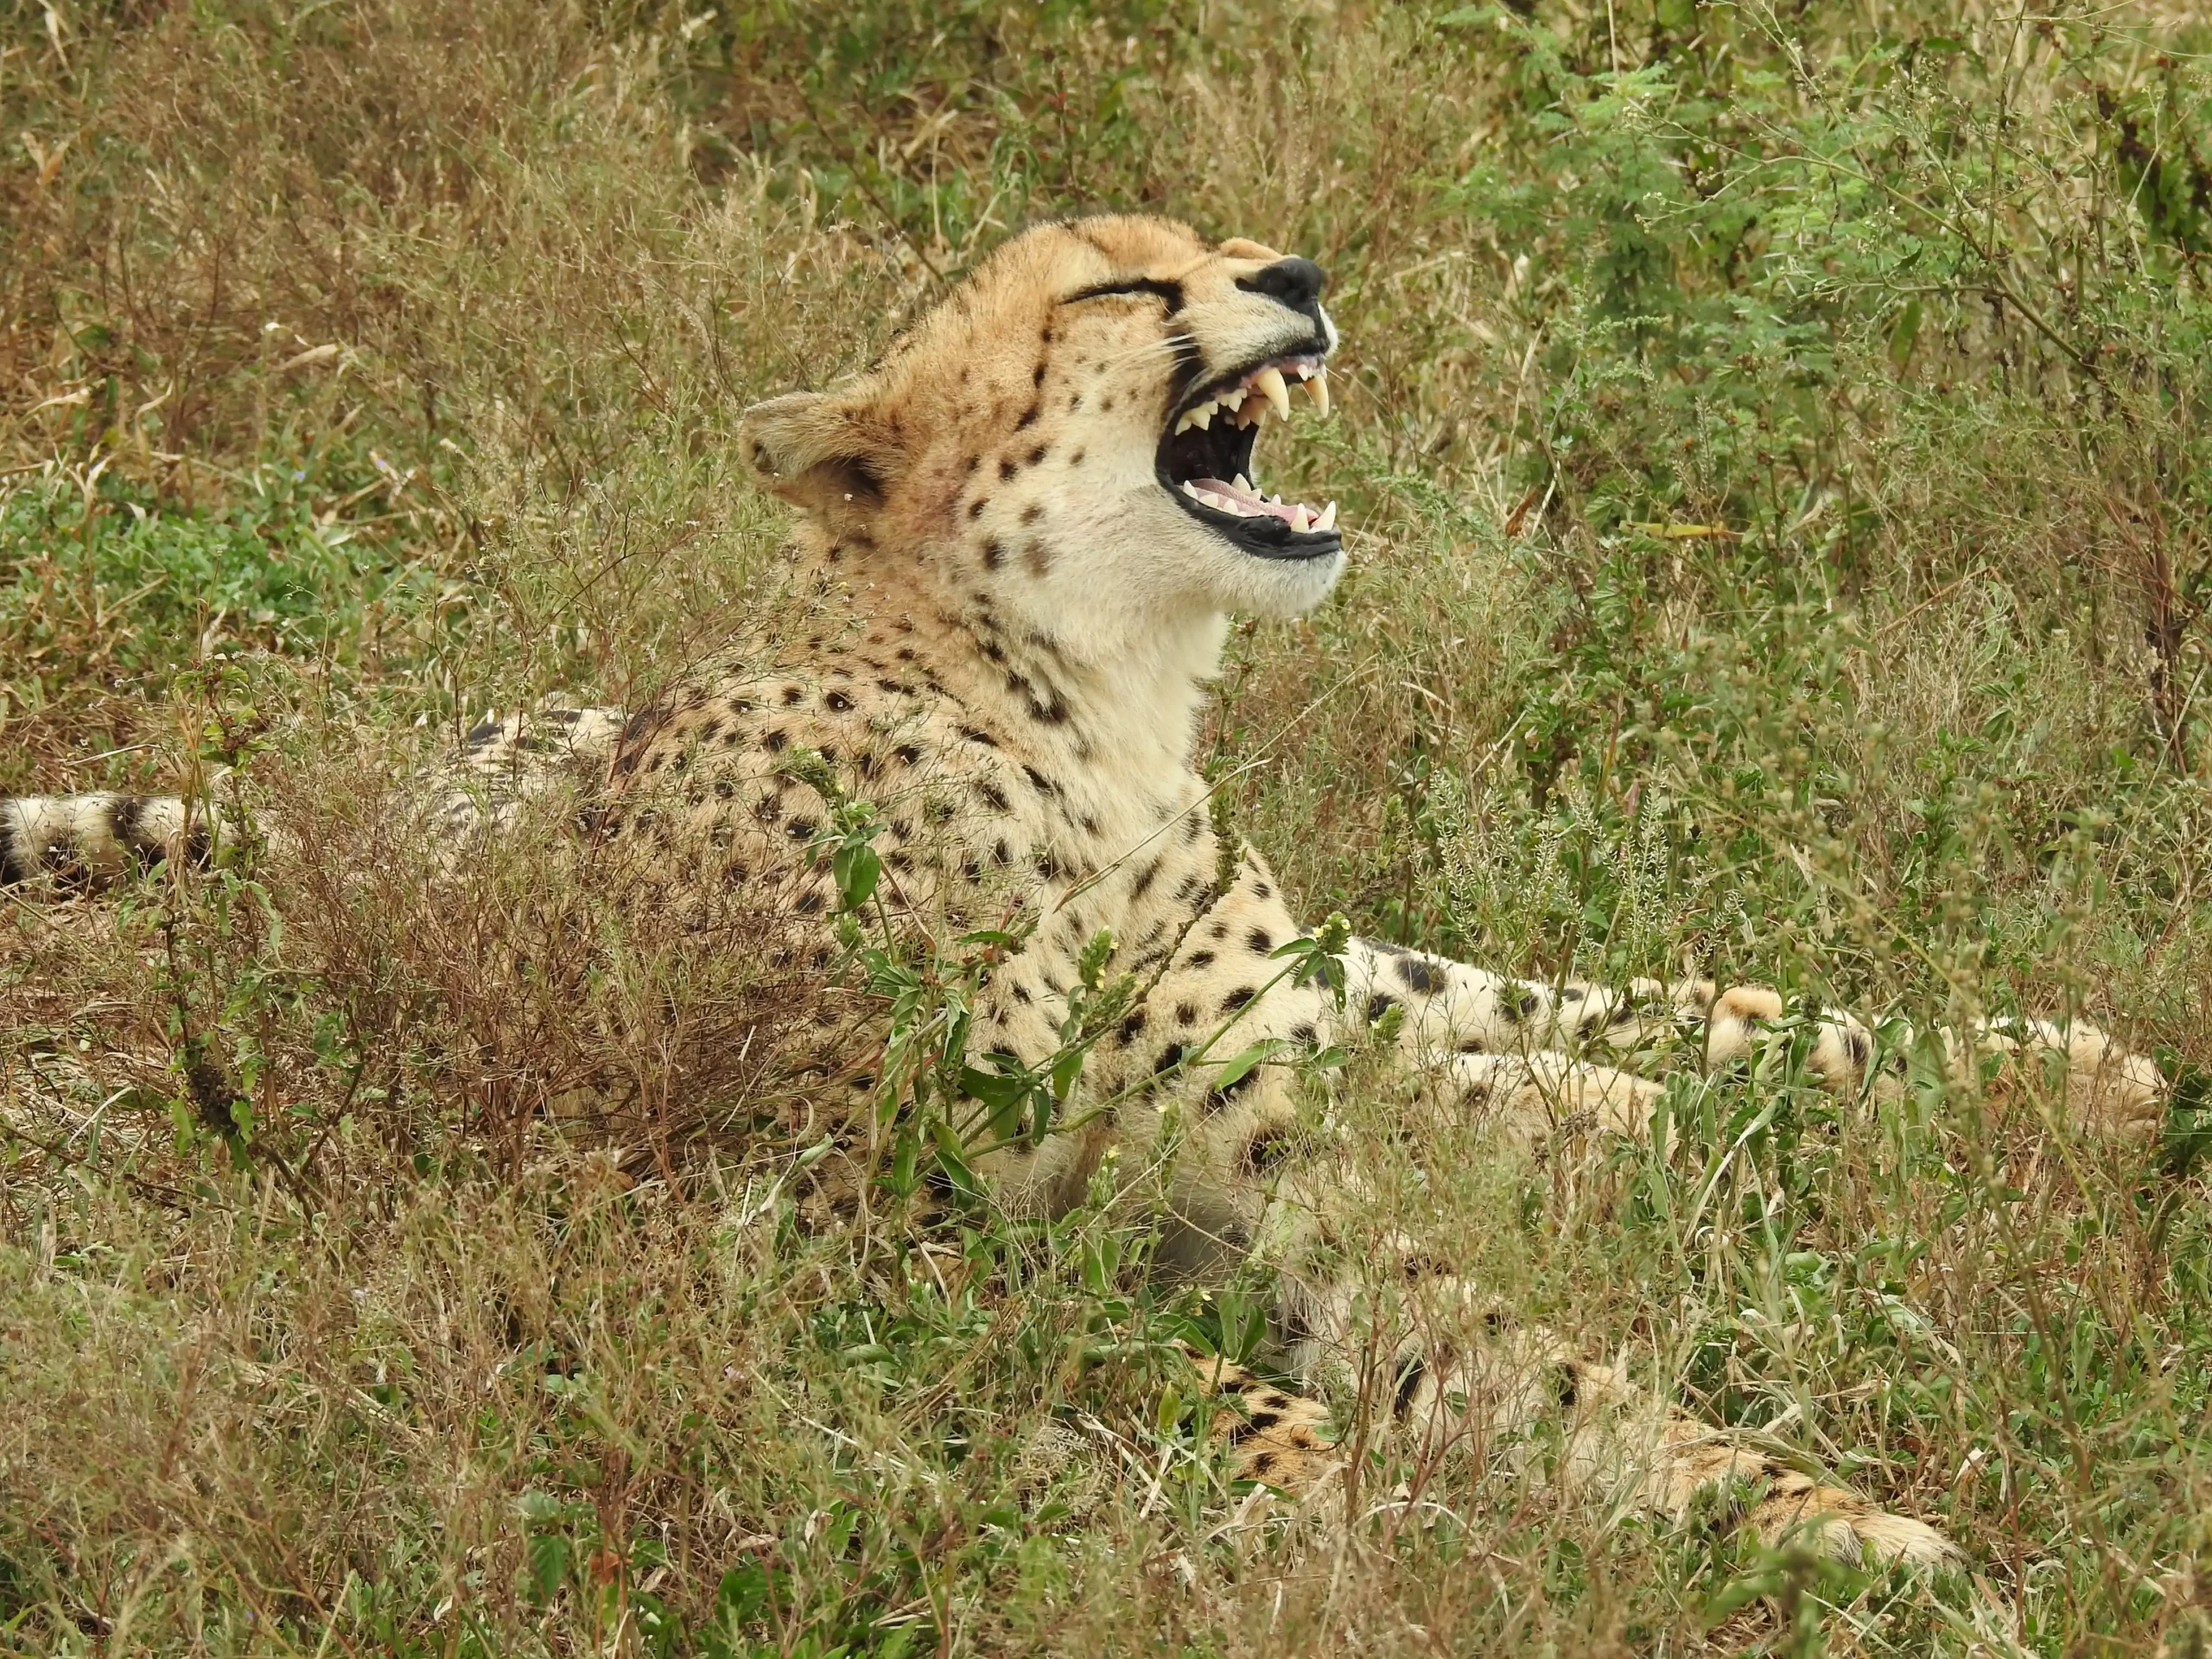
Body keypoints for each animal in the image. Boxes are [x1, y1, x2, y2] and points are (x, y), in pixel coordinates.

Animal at [3, 213, 2170, 1567]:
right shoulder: (817, 1233)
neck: (1092, 709)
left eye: (1236, 247)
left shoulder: (1268, 1172)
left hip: (1358, 995)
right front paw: (1371, 1512)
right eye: (1133, 285)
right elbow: (1159, 1369)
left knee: (1564, 1010)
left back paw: (2044, 1070)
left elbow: (1537, 1360)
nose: (1297, 278)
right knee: (1492, 1053)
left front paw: (1813, 1525)